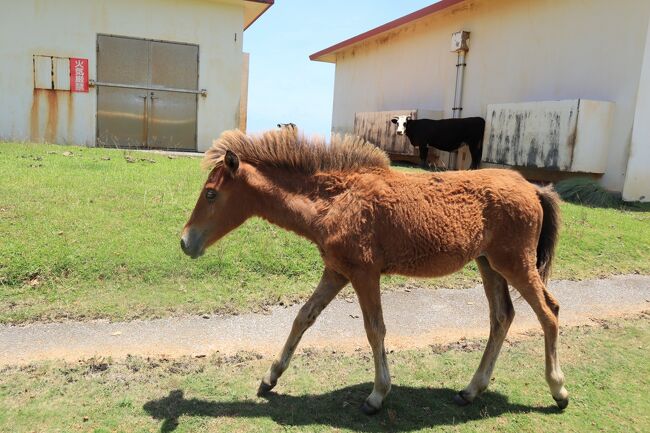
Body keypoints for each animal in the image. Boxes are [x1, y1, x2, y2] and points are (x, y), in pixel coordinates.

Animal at [181, 127, 568, 412]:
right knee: (502, 317)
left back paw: (558, 390)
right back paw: (471, 390)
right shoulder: (337, 271)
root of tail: (533, 188)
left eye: (211, 194)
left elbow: (375, 329)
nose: (186, 242)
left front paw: (378, 395)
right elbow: (303, 317)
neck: (335, 201)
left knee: (549, 312)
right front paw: (270, 377)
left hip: (514, 263)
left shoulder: (364, 273)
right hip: (489, 264)